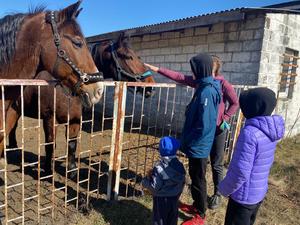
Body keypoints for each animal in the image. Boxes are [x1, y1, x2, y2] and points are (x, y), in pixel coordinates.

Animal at [8, 33, 156, 178]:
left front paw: (72, 170)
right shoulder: (50, 119)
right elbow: (50, 144)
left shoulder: (75, 120)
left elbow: (72, 144)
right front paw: (48, 171)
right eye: (127, 56)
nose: (151, 85)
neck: (64, 89)